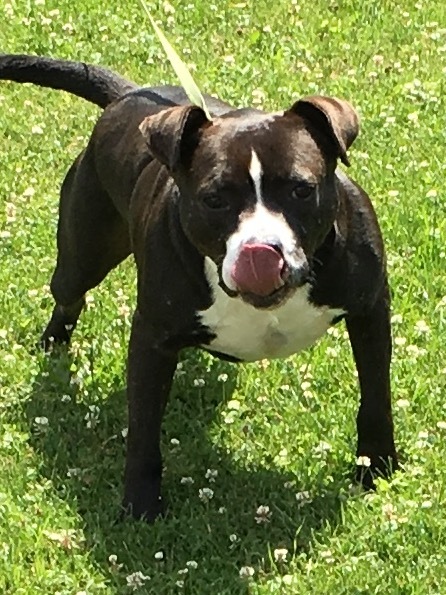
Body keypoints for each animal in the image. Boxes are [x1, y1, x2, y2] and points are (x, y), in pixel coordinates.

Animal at [0, 56, 398, 520]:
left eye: (302, 190)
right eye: (214, 199)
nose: (262, 251)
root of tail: (126, 96)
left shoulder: (370, 309)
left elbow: (375, 397)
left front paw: (377, 466)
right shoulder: (152, 339)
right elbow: (143, 429)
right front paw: (141, 504)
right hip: (83, 250)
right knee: (69, 295)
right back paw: (53, 342)